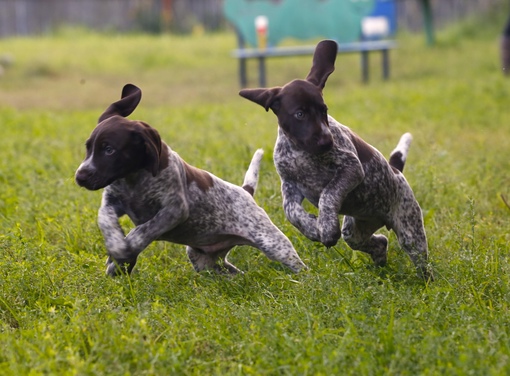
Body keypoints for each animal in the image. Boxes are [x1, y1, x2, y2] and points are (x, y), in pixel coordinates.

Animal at [74, 83, 306, 276]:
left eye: (109, 150)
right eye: (88, 148)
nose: (80, 177)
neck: (133, 179)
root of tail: (245, 190)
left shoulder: (174, 210)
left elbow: (142, 231)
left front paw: (124, 251)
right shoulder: (111, 202)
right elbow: (105, 220)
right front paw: (116, 249)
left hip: (272, 243)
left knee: (298, 266)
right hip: (203, 259)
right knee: (229, 272)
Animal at [241, 40, 432, 280]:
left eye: (324, 110)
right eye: (300, 114)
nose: (327, 142)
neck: (301, 151)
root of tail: (395, 171)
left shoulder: (351, 168)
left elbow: (328, 194)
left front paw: (326, 226)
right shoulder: (290, 185)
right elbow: (291, 211)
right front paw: (312, 227)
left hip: (409, 229)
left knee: (419, 258)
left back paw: (425, 281)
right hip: (355, 230)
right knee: (379, 241)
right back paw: (380, 263)